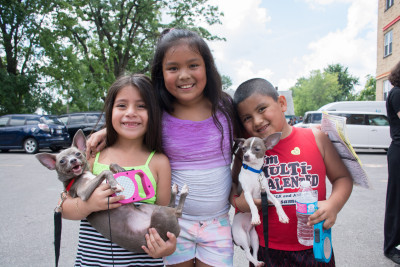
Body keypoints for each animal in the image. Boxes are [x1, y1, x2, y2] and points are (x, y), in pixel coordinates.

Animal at [36, 131, 188, 254]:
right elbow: (105, 171)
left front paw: (120, 168)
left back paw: (176, 190)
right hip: (160, 214)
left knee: (172, 206)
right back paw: (182, 191)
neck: (79, 176)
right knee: (177, 211)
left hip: (153, 208)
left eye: (78, 153)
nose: (73, 160)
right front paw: (115, 184)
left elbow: (109, 165)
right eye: (62, 161)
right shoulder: (84, 192)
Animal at [233, 134, 290, 267]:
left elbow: (277, 202)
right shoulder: (247, 194)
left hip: (255, 238)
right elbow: (253, 205)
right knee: (248, 253)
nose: (245, 156)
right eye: (243, 149)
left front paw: (282, 216)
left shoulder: (266, 193)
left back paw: (258, 262)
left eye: (257, 149)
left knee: (254, 252)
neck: (254, 172)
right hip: (241, 236)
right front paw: (255, 216)